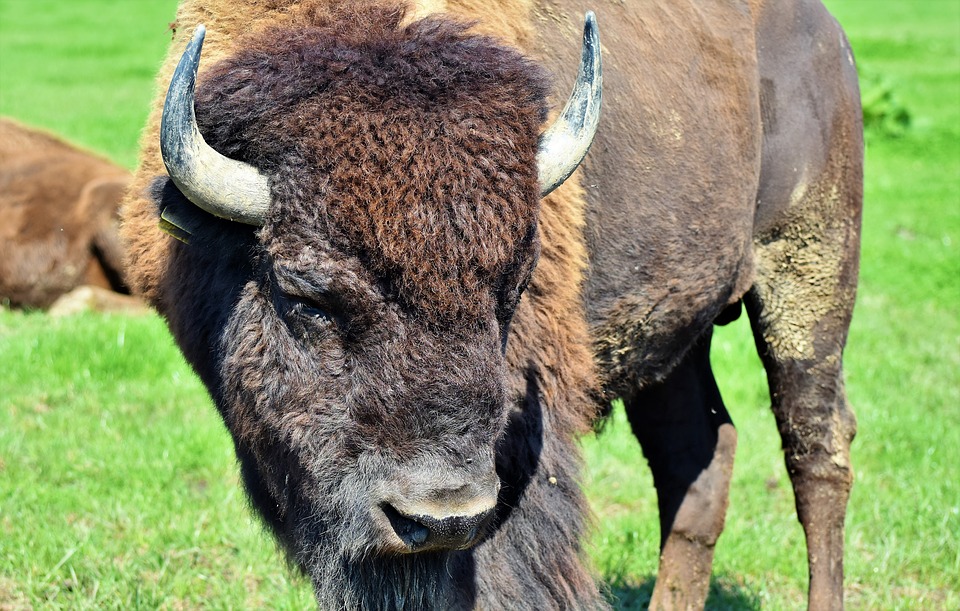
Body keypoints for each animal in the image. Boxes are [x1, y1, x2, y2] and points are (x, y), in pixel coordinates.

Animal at [120, 0, 864, 608]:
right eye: (305, 294)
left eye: (515, 283)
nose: (443, 516)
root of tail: (826, 32)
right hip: (676, 335)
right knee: (697, 458)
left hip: (810, 275)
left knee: (816, 449)